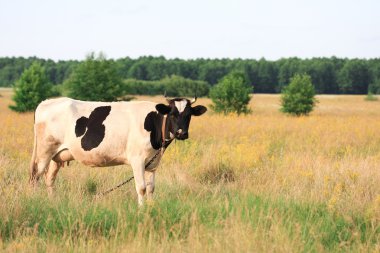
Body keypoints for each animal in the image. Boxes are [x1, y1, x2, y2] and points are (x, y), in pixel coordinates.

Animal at [29, 97, 208, 206]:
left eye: (189, 114)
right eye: (172, 113)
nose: (181, 133)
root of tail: (46, 102)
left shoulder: (153, 163)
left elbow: (151, 188)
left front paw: (151, 206)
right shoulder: (137, 160)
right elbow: (141, 187)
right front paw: (141, 210)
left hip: (57, 156)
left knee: (49, 179)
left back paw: (53, 201)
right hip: (44, 152)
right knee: (35, 177)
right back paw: (35, 200)